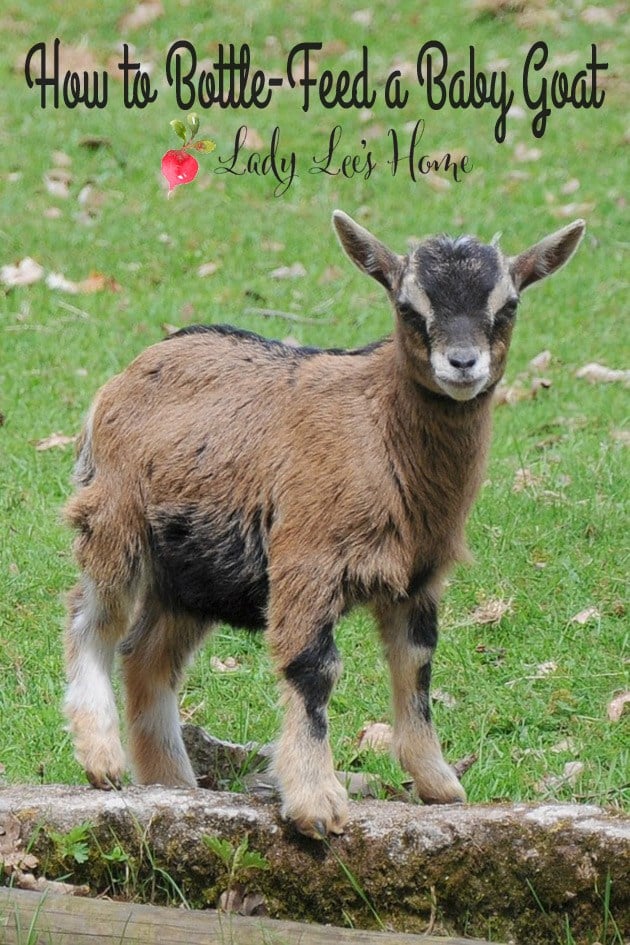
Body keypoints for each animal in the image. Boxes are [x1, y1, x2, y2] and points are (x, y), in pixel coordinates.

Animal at [64, 210, 588, 836]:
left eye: (507, 304)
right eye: (408, 306)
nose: (463, 363)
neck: (380, 430)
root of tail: (127, 374)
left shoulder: (420, 578)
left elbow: (417, 669)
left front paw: (439, 785)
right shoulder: (306, 561)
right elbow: (312, 669)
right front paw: (317, 803)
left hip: (194, 570)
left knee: (147, 657)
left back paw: (174, 783)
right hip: (115, 521)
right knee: (91, 620)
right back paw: (102, 760)